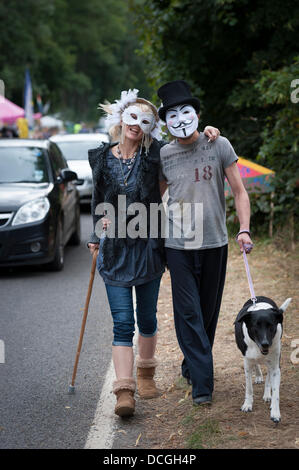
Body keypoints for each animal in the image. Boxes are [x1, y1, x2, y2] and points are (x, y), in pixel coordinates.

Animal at [234, 296, 292, 424]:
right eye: (255, 326)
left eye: (271, 326)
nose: (265, 344)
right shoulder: (247, 363)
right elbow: (249, 388)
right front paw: (247, 404)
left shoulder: (276, 367)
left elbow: (276, 391)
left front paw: (275, 412)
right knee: (256, 364)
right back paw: (259, 375)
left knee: (269, 375)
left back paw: (267, 394)